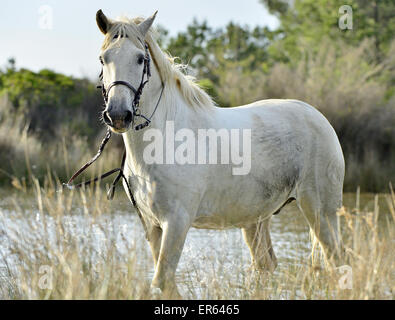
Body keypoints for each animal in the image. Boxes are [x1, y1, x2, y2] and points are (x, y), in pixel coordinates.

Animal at [96, 11, 346, 298]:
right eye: (103, 58)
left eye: (140, 58)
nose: (118, 115)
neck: (165, 138)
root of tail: (319, 118)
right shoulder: (152, 225)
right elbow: (164, 282)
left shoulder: (177, 221)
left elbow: (162, 280)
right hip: (257, 220)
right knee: (266, 265)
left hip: (321, 211)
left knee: (336, 261)